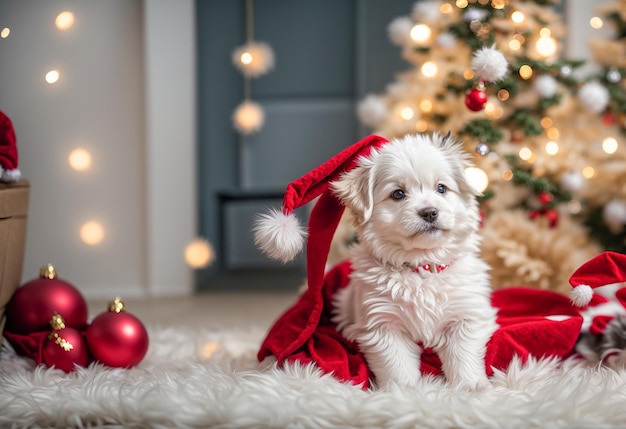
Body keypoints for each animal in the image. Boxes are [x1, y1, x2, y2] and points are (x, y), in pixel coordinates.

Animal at [330, 132, 494, 390]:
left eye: (441, 188)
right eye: (398, 194)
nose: (430, 212)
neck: (422, 266)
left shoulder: (467, 315)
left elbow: (463, 355)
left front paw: (471, 387)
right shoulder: (382, 325)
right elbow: (397, 367)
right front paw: (404, 393)